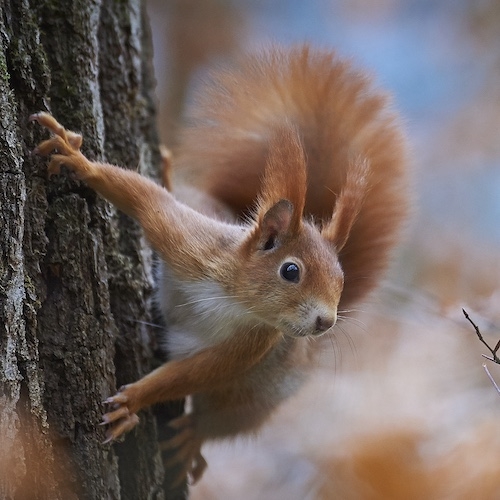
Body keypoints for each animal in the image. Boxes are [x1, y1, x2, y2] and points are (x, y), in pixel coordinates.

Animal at [31, 46, 408, 484]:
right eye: (291, 271)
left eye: (341, 278)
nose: (326, 321)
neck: (235, 298)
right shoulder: (189, 243)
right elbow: (145, 200)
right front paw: (79, 162)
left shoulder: (254, 344)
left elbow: (196, 373)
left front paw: (134, 401)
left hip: (255, 395)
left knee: (221, 418)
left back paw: (193, 436)